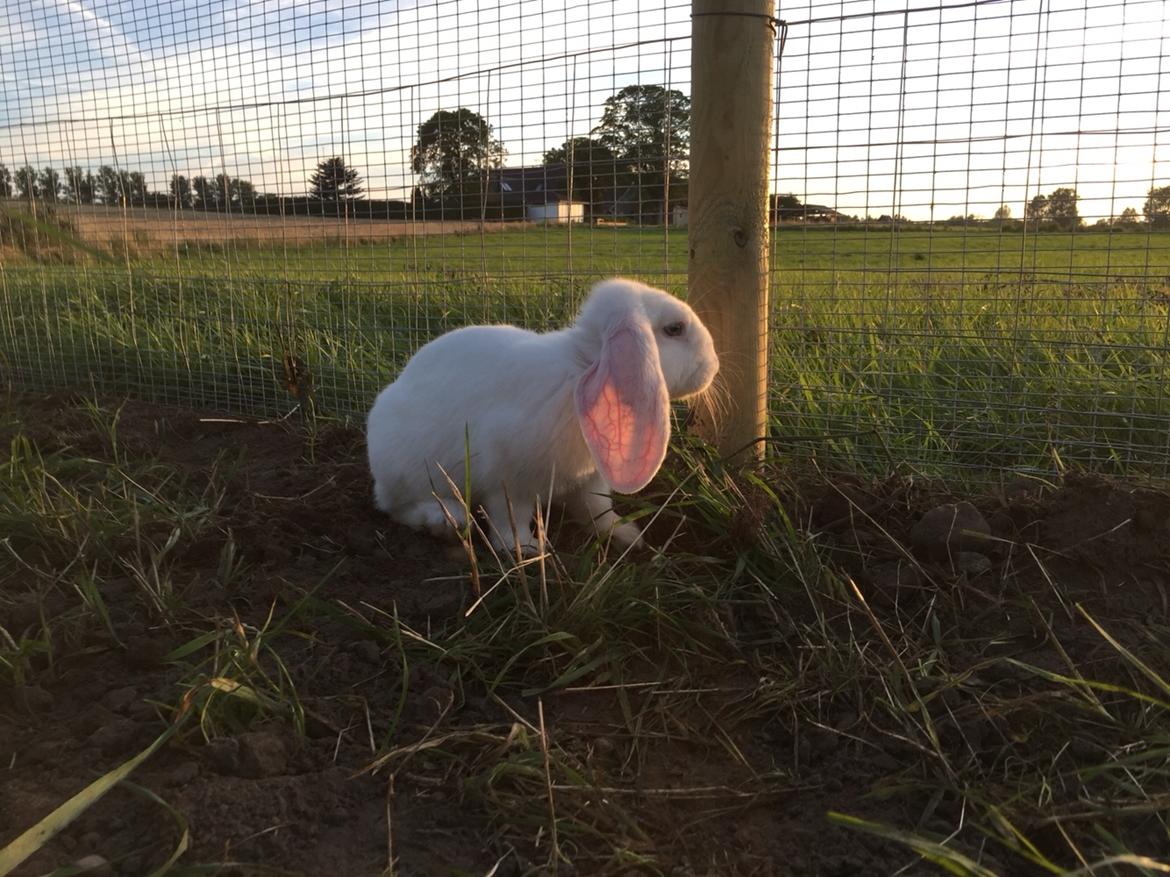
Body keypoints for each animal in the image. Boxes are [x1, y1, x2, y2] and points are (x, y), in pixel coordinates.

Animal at [365, 279, 716, 556]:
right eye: (674, 329)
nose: (713, 366)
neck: (580, 368)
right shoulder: (507, 481)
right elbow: (510, 519)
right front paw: (527, 549)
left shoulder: (591, 478)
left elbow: (598, 510)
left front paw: (627, 536)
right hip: (406, 472)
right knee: (397, 507)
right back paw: (445, 520)